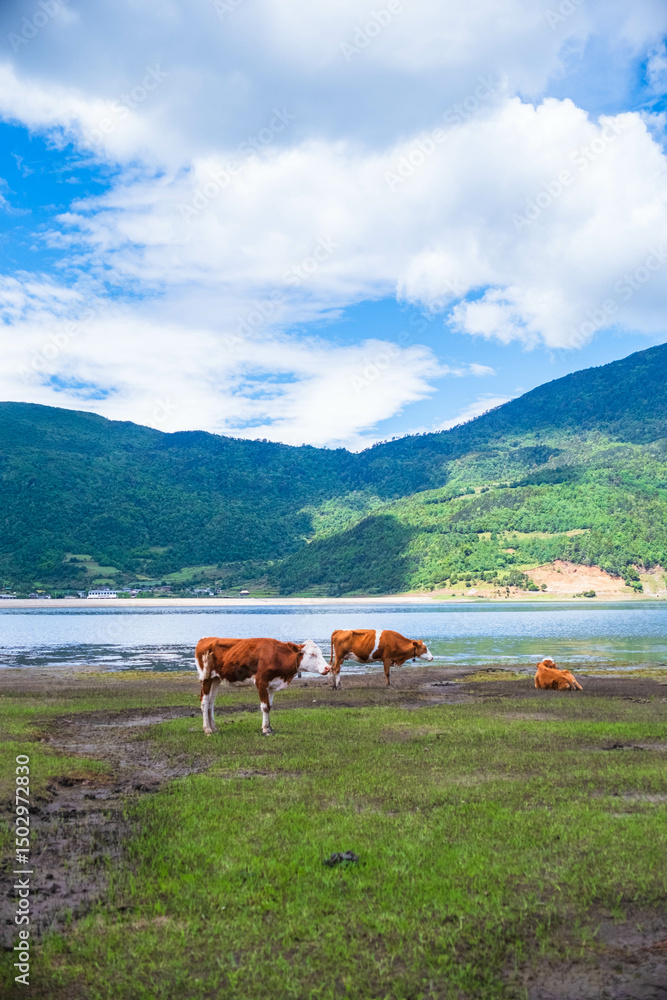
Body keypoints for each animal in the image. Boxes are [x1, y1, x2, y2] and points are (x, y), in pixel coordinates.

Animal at [195, 636, 330, 735]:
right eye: (312, 654)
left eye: (320, 652)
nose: (328, 668)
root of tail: (206, 639)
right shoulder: (261, 682)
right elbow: (265, 707)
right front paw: (265, 730)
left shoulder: (272, 685)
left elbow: (269, 706)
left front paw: (269, 727)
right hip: (206, 677)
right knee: (204, 702)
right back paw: (207, 729)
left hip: (216, 679)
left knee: (211, 702)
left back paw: (214, 728)